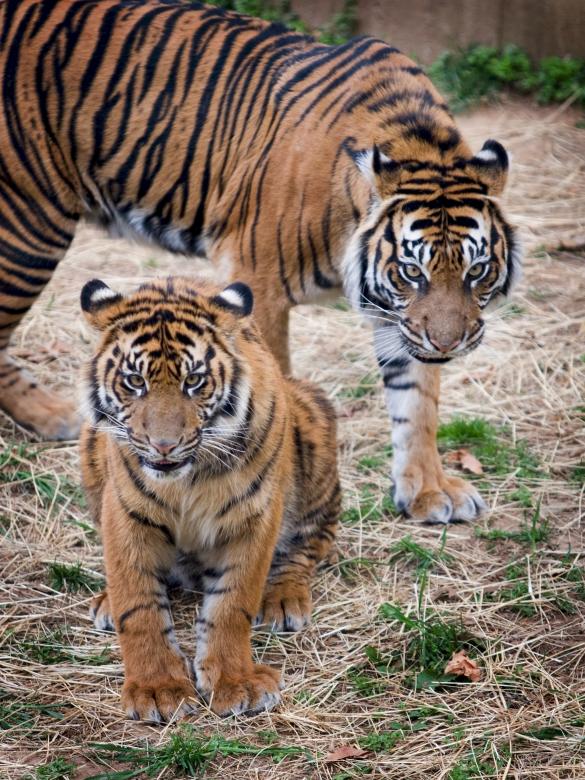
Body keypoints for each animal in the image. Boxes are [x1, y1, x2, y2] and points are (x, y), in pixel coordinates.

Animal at [0, 0, 520, 524]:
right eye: (413, 271)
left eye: (476, 271)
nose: (448, 344)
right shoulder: (258, 279)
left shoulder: (400, 319)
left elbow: (417, 402)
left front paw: (428, 491)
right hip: (30, 223)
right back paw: (55, 416)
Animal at [79, 275, 340, 720]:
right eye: (135, 381)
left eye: (194, 381)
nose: (163, 446)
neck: (187, 478)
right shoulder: (126, 515)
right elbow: (139, 604)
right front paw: (157, 689)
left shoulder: (254, 517)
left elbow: (233, 603)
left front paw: (237, 682)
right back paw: (107, 603)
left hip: (313, 421)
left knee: (313, 540)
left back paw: (284, 599)